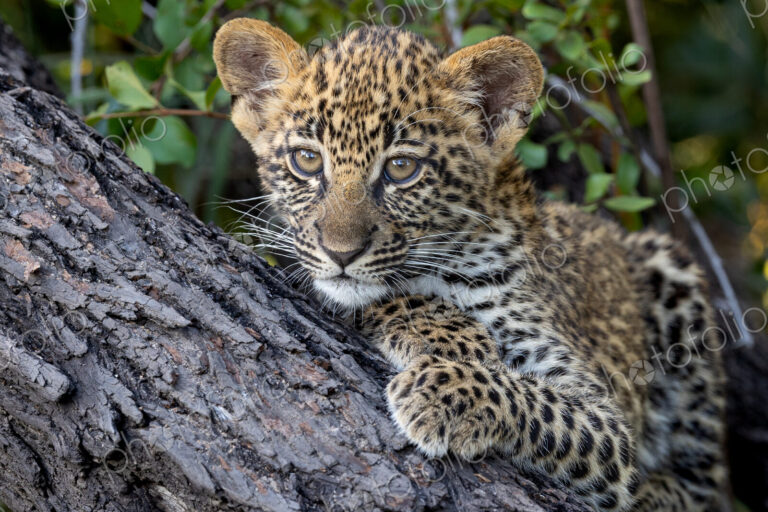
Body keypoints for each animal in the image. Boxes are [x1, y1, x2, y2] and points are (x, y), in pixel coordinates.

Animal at [213, 18, 730, 511]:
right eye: (305, 160)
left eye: (401, 168)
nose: (342, 252)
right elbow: (377, 296)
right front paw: (454, 337)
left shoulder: (607, 425)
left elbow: (539, 401)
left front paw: (445, 394)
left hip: (672, 272)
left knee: (704, 480)